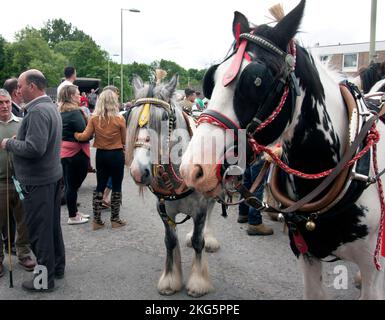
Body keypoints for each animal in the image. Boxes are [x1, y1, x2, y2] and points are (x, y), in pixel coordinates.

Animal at [126, 74, 219, 296]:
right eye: (131, 116)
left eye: (163, 118)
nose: (138, 171)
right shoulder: (164, 209)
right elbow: (170, 241)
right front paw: (170, 279)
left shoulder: (200, 208)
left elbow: (198, 242)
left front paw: (198, 282)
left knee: (211, 210)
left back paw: (209, 237)